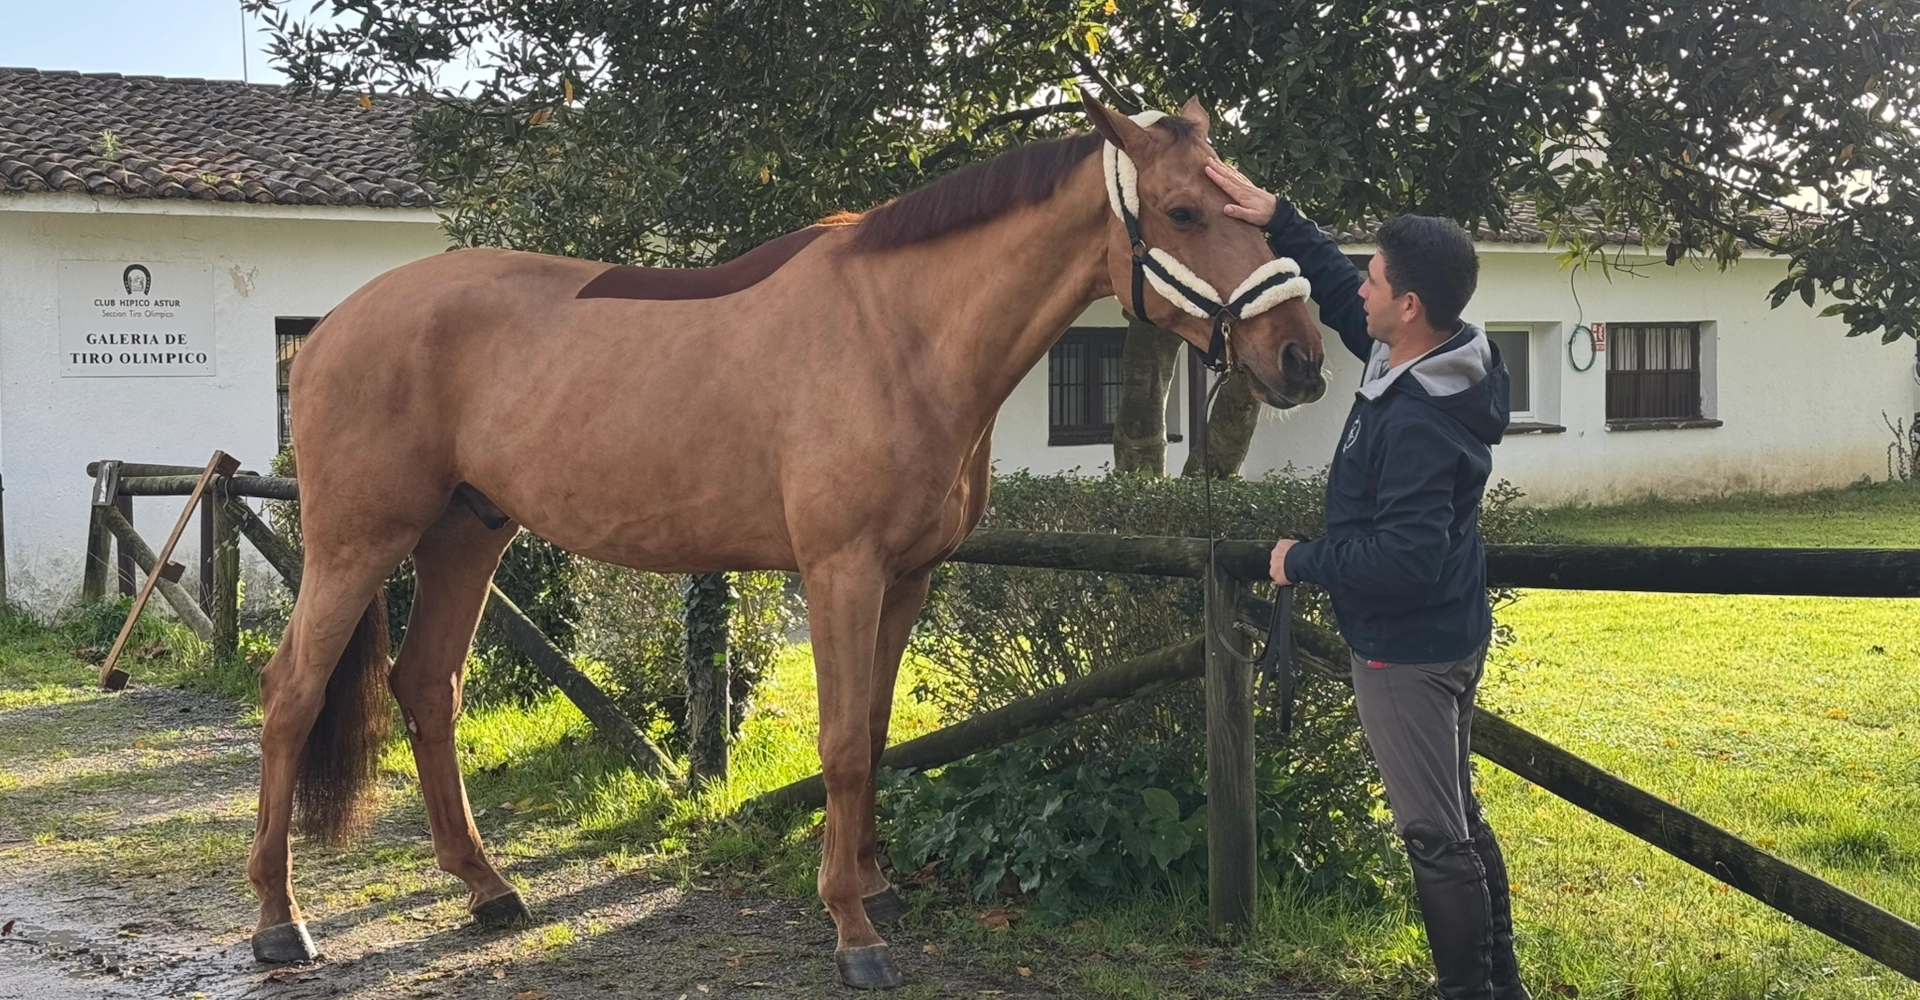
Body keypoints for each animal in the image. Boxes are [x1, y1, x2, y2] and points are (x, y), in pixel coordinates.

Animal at [248, 94, 1328, 989]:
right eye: (1183, 212)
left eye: (1250, 206)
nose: (1302, 360)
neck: (902, 331)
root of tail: (328, 330)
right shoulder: (840, 571)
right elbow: (843, 744)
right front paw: (854, 929)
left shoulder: (907, 578)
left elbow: (882, 729)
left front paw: (875, 880)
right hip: (357, 542)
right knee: (292, 693)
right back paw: (279, 921)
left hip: (467, 536)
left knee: (428, 685)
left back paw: (488, 889)